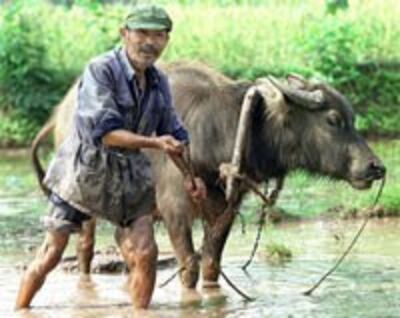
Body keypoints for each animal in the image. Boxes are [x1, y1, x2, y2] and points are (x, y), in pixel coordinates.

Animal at [31, 61, 384, 288]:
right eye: (333, 120)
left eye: (351, 118)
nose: (375, 167)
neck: (218, 129)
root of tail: (61, 111)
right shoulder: (174, 210)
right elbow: (189, 267)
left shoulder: (225, 207)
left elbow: (212, 264)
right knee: (85, 247)